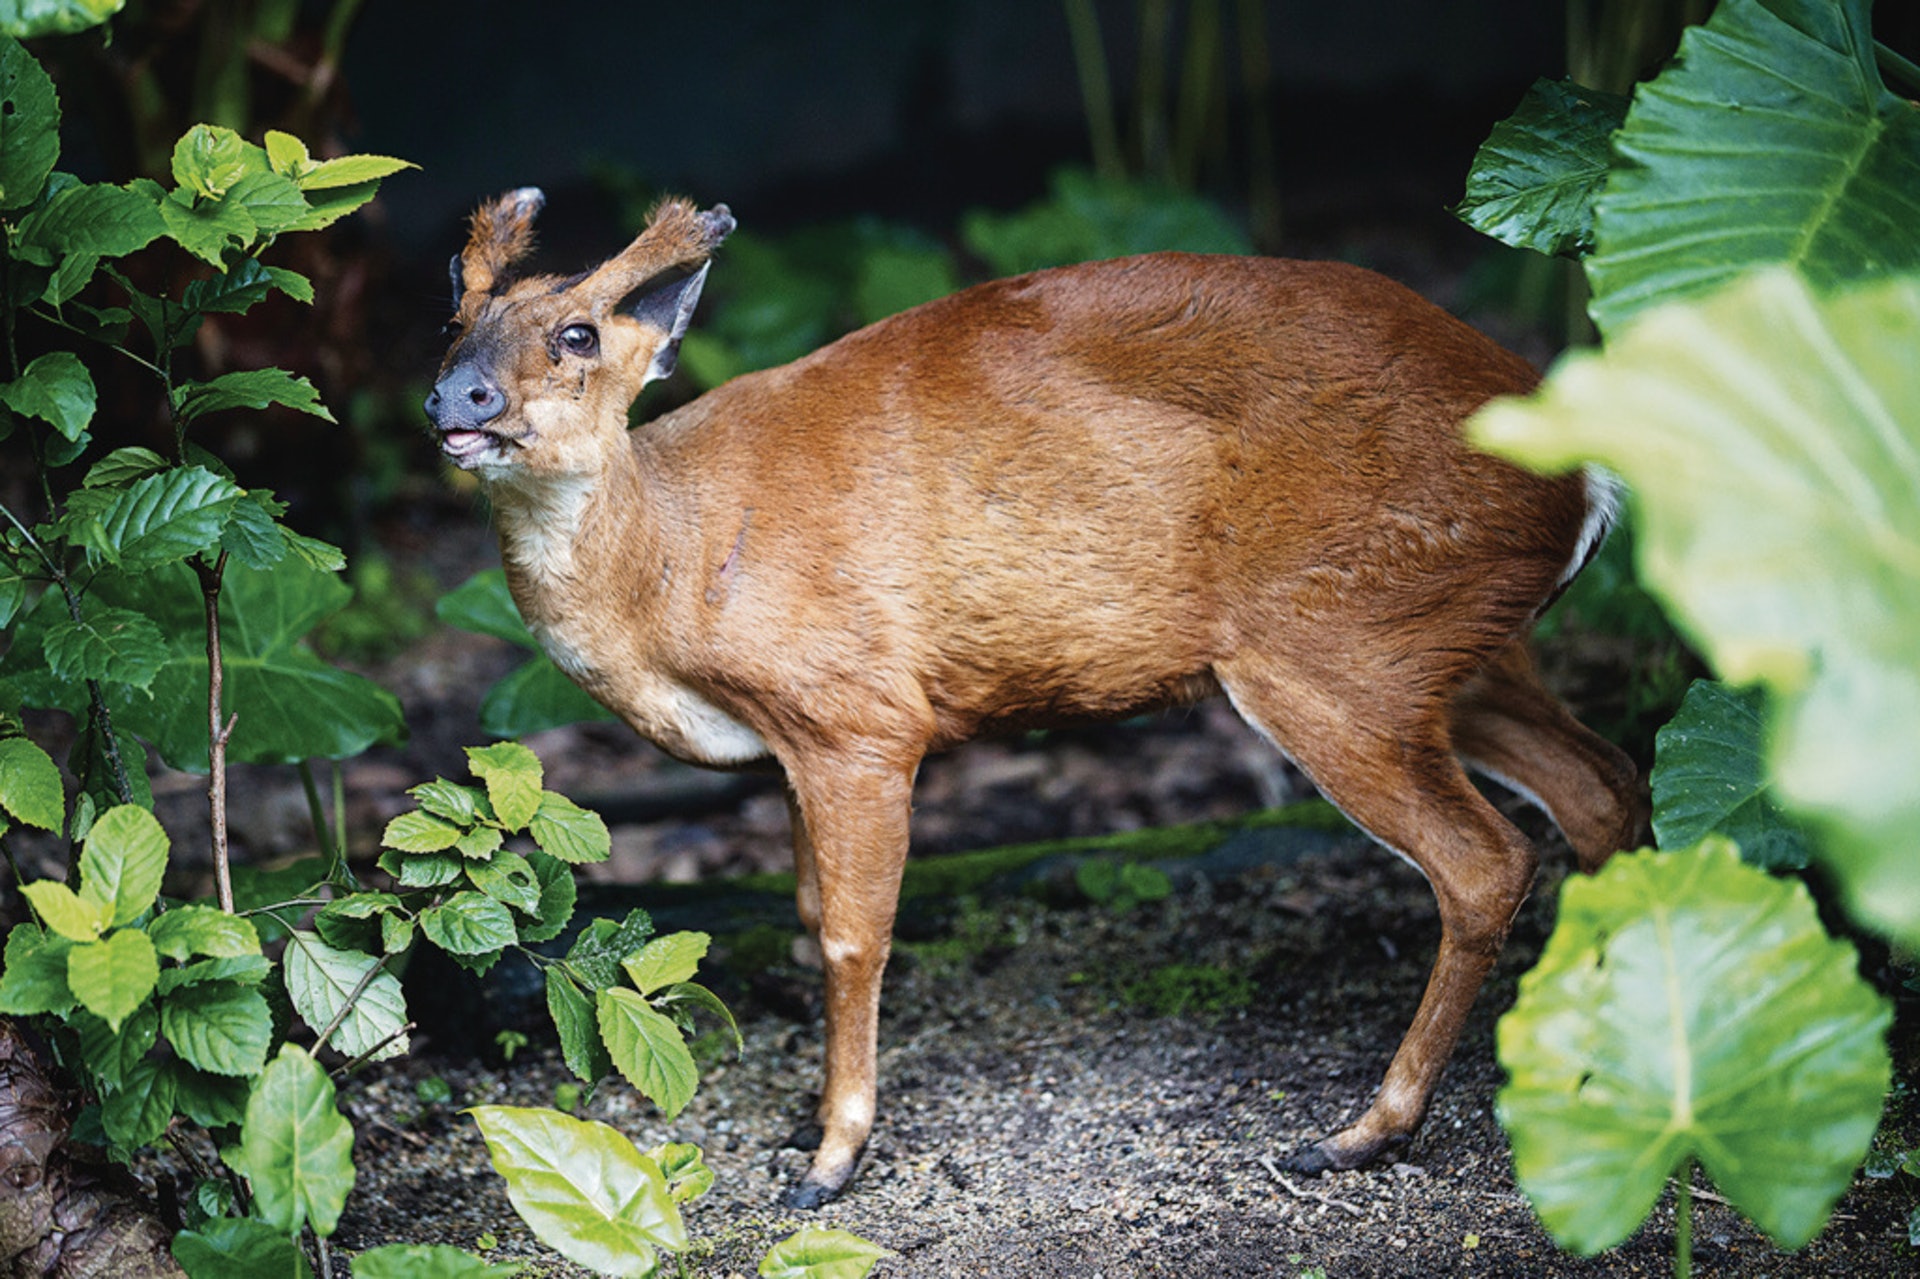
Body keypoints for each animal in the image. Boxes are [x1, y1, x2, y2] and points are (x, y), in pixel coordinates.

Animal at [428, 189, 1643, 1206]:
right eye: (457, 310)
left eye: (579, 332)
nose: (455, 394)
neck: (669, 571)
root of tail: (1588, 475)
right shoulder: (788, 747)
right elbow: (811, 914)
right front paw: (801, 1128)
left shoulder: (859, 709)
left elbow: (853, 935)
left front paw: (831, 1158)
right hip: (1447, 649)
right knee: (1604, 786)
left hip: (1337, 642)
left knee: (1487, 859)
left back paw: (1365, 1130)